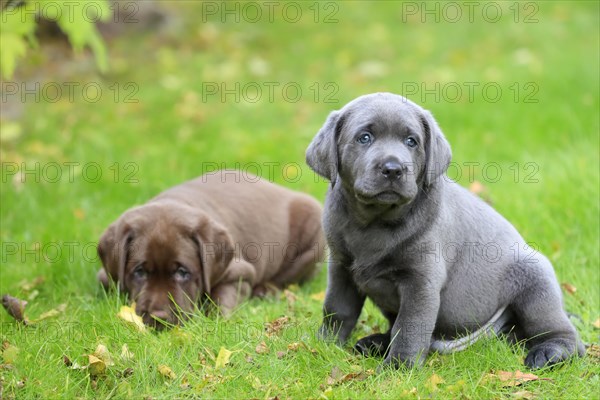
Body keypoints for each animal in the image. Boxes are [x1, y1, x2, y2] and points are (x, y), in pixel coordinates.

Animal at [308, 92, 584, 368]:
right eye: (364, 137)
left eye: (412, 141)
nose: (394, 169)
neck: (374, 221)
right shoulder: (341, 267)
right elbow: (337, 308)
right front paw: (324, 345)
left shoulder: (421, 280)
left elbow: (410, 326)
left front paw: (399, 367)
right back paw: (376, 343)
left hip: (535, 286)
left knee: (567, 336)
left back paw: (549, 353)